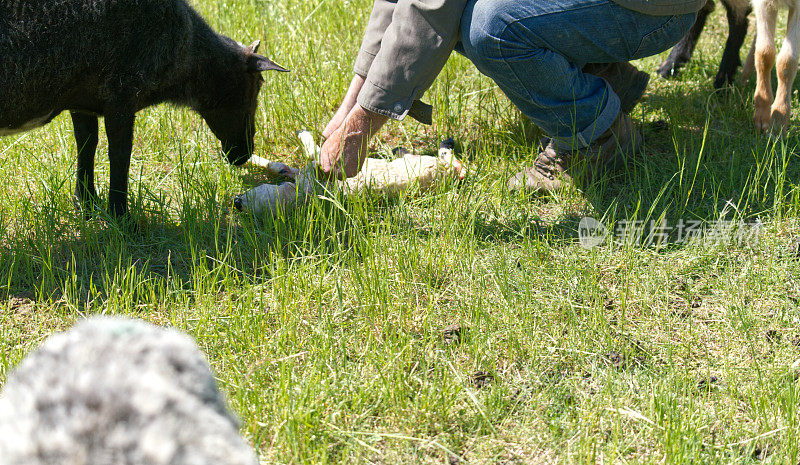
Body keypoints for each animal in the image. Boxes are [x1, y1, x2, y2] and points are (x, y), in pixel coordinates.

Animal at [0, 0, 288, 218]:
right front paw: (122, 218)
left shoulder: (84, 102)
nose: (244, 154)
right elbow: (120, 155)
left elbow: (86, 146)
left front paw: (86, 205)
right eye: (256, 86)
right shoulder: (121, 95)